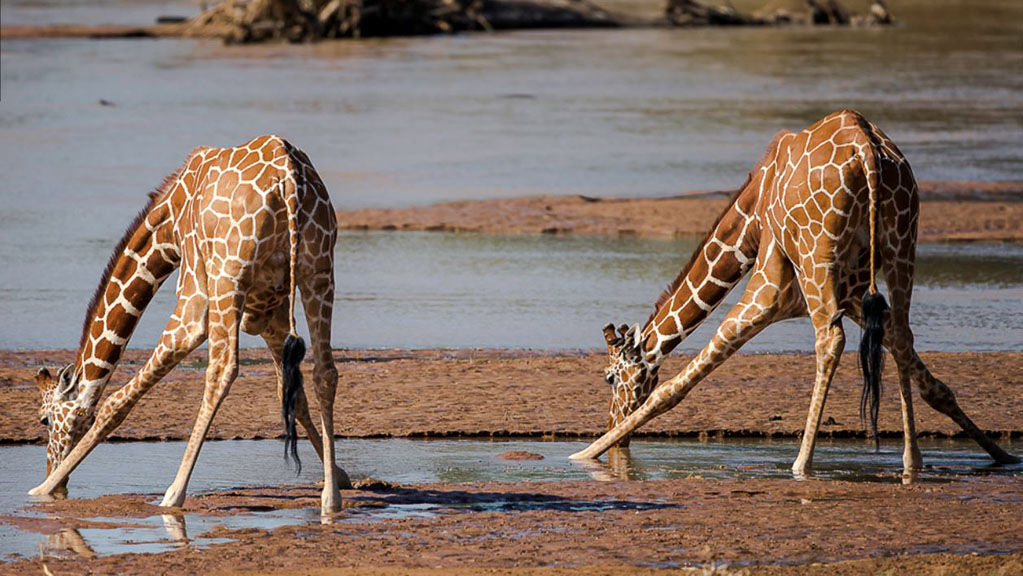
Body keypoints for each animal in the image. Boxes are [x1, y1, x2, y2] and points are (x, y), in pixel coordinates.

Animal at [29, 134, 351, 513]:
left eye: (45, 419)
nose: (53, 470)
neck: (168, 223)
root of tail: (288, 179)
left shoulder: (195, 300)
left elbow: (115, 402)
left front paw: (42, 488)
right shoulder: (266, 314)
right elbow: (292, 393)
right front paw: (340, 475)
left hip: (227, 278)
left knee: (222, 370)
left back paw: (174, 492)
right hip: (319, 269)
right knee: (325, 373)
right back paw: (331, 500)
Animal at [572, 109, 1018, 478]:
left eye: (610, 377)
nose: (613, 423)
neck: (751, 218)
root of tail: (868, 153)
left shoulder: (771, 285)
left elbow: (675, 386)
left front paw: (584, 453)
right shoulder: (854, 292)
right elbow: (931, 382)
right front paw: (1001, 453)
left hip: (817, 262)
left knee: (830, 340)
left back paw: (802, 462)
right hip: (901, 246)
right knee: (904, 337)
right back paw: (912, 460)